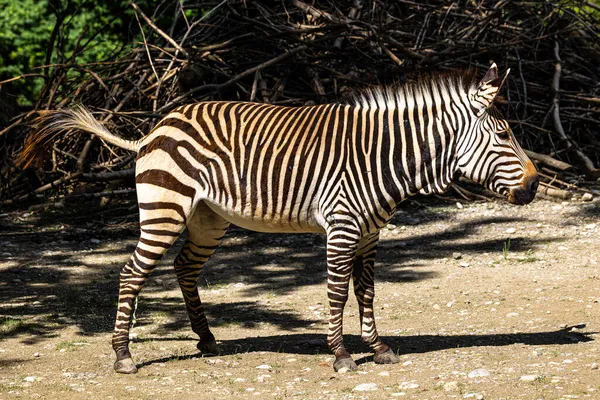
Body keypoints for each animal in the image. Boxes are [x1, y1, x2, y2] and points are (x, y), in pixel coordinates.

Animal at [19, 64, 540, 374]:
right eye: (502, 135)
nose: (535, 185)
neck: (384, 156)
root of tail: (156, 127)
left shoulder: (371, 233)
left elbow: (367, 292)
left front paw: (379, 350)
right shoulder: (343, 226)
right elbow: (336, 294)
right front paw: (342, 357)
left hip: (208, 218)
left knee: (184, 268)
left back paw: (207, 340)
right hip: (165, 209)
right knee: (131, 273)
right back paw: (124, 356)